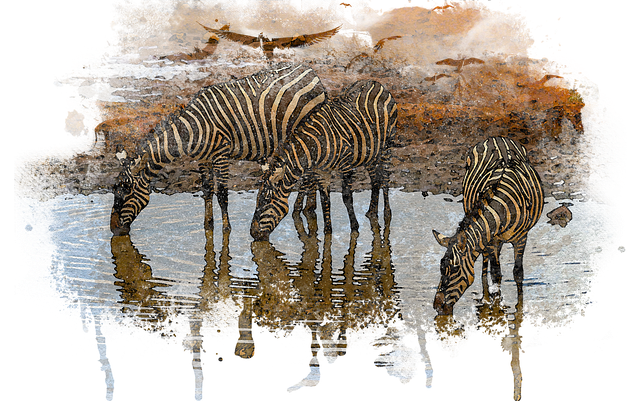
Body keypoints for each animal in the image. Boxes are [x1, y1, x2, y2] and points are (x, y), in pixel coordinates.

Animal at [110, 63, 327, 236]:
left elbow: (222, 193)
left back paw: (302, 210)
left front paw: (226, 229)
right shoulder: (203, 158)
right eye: (114, 190)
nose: (114, 229)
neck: (192, 130)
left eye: (126, 190)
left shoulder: (220, 154)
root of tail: (309, 69)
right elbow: (207, 190)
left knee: (310, 171)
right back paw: (309, 208)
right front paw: (208, 225)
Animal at [250, 79, 398, 241]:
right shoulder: (322, 172)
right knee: (375, 179)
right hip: (369, 152)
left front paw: (354, 227)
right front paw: (327, 232)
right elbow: (324, 200)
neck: (315, 146)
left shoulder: (345, 164)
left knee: (385, 179)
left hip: (387, 146)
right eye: (256, 201)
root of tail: (374, 81)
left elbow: (347, 197)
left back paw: (387, 214)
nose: (253, 233)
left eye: (265, 202)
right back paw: (371, 212)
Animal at [432, 137, 543, 315]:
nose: (437, 307)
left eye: (455, 269)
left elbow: (518, 273)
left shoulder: (521, 238)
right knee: (486, 261)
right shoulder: (491, 240)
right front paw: (495, 304)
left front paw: (516, 308)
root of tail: (496, 137)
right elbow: (496, 274)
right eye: (441, 268)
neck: (502, 210)